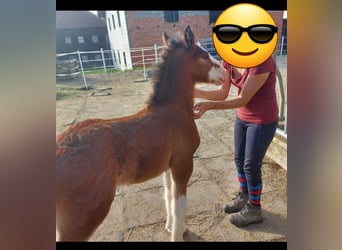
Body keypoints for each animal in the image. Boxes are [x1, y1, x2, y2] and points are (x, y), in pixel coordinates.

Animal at [56, 25, 227, 242]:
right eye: (204, 55)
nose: (225, 73)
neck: (174, 109)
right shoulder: (183, 163)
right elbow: (179, 205)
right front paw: (177, 234)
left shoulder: (168, 166)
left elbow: (168, 197)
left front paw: (172, 228)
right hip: (84, 217)